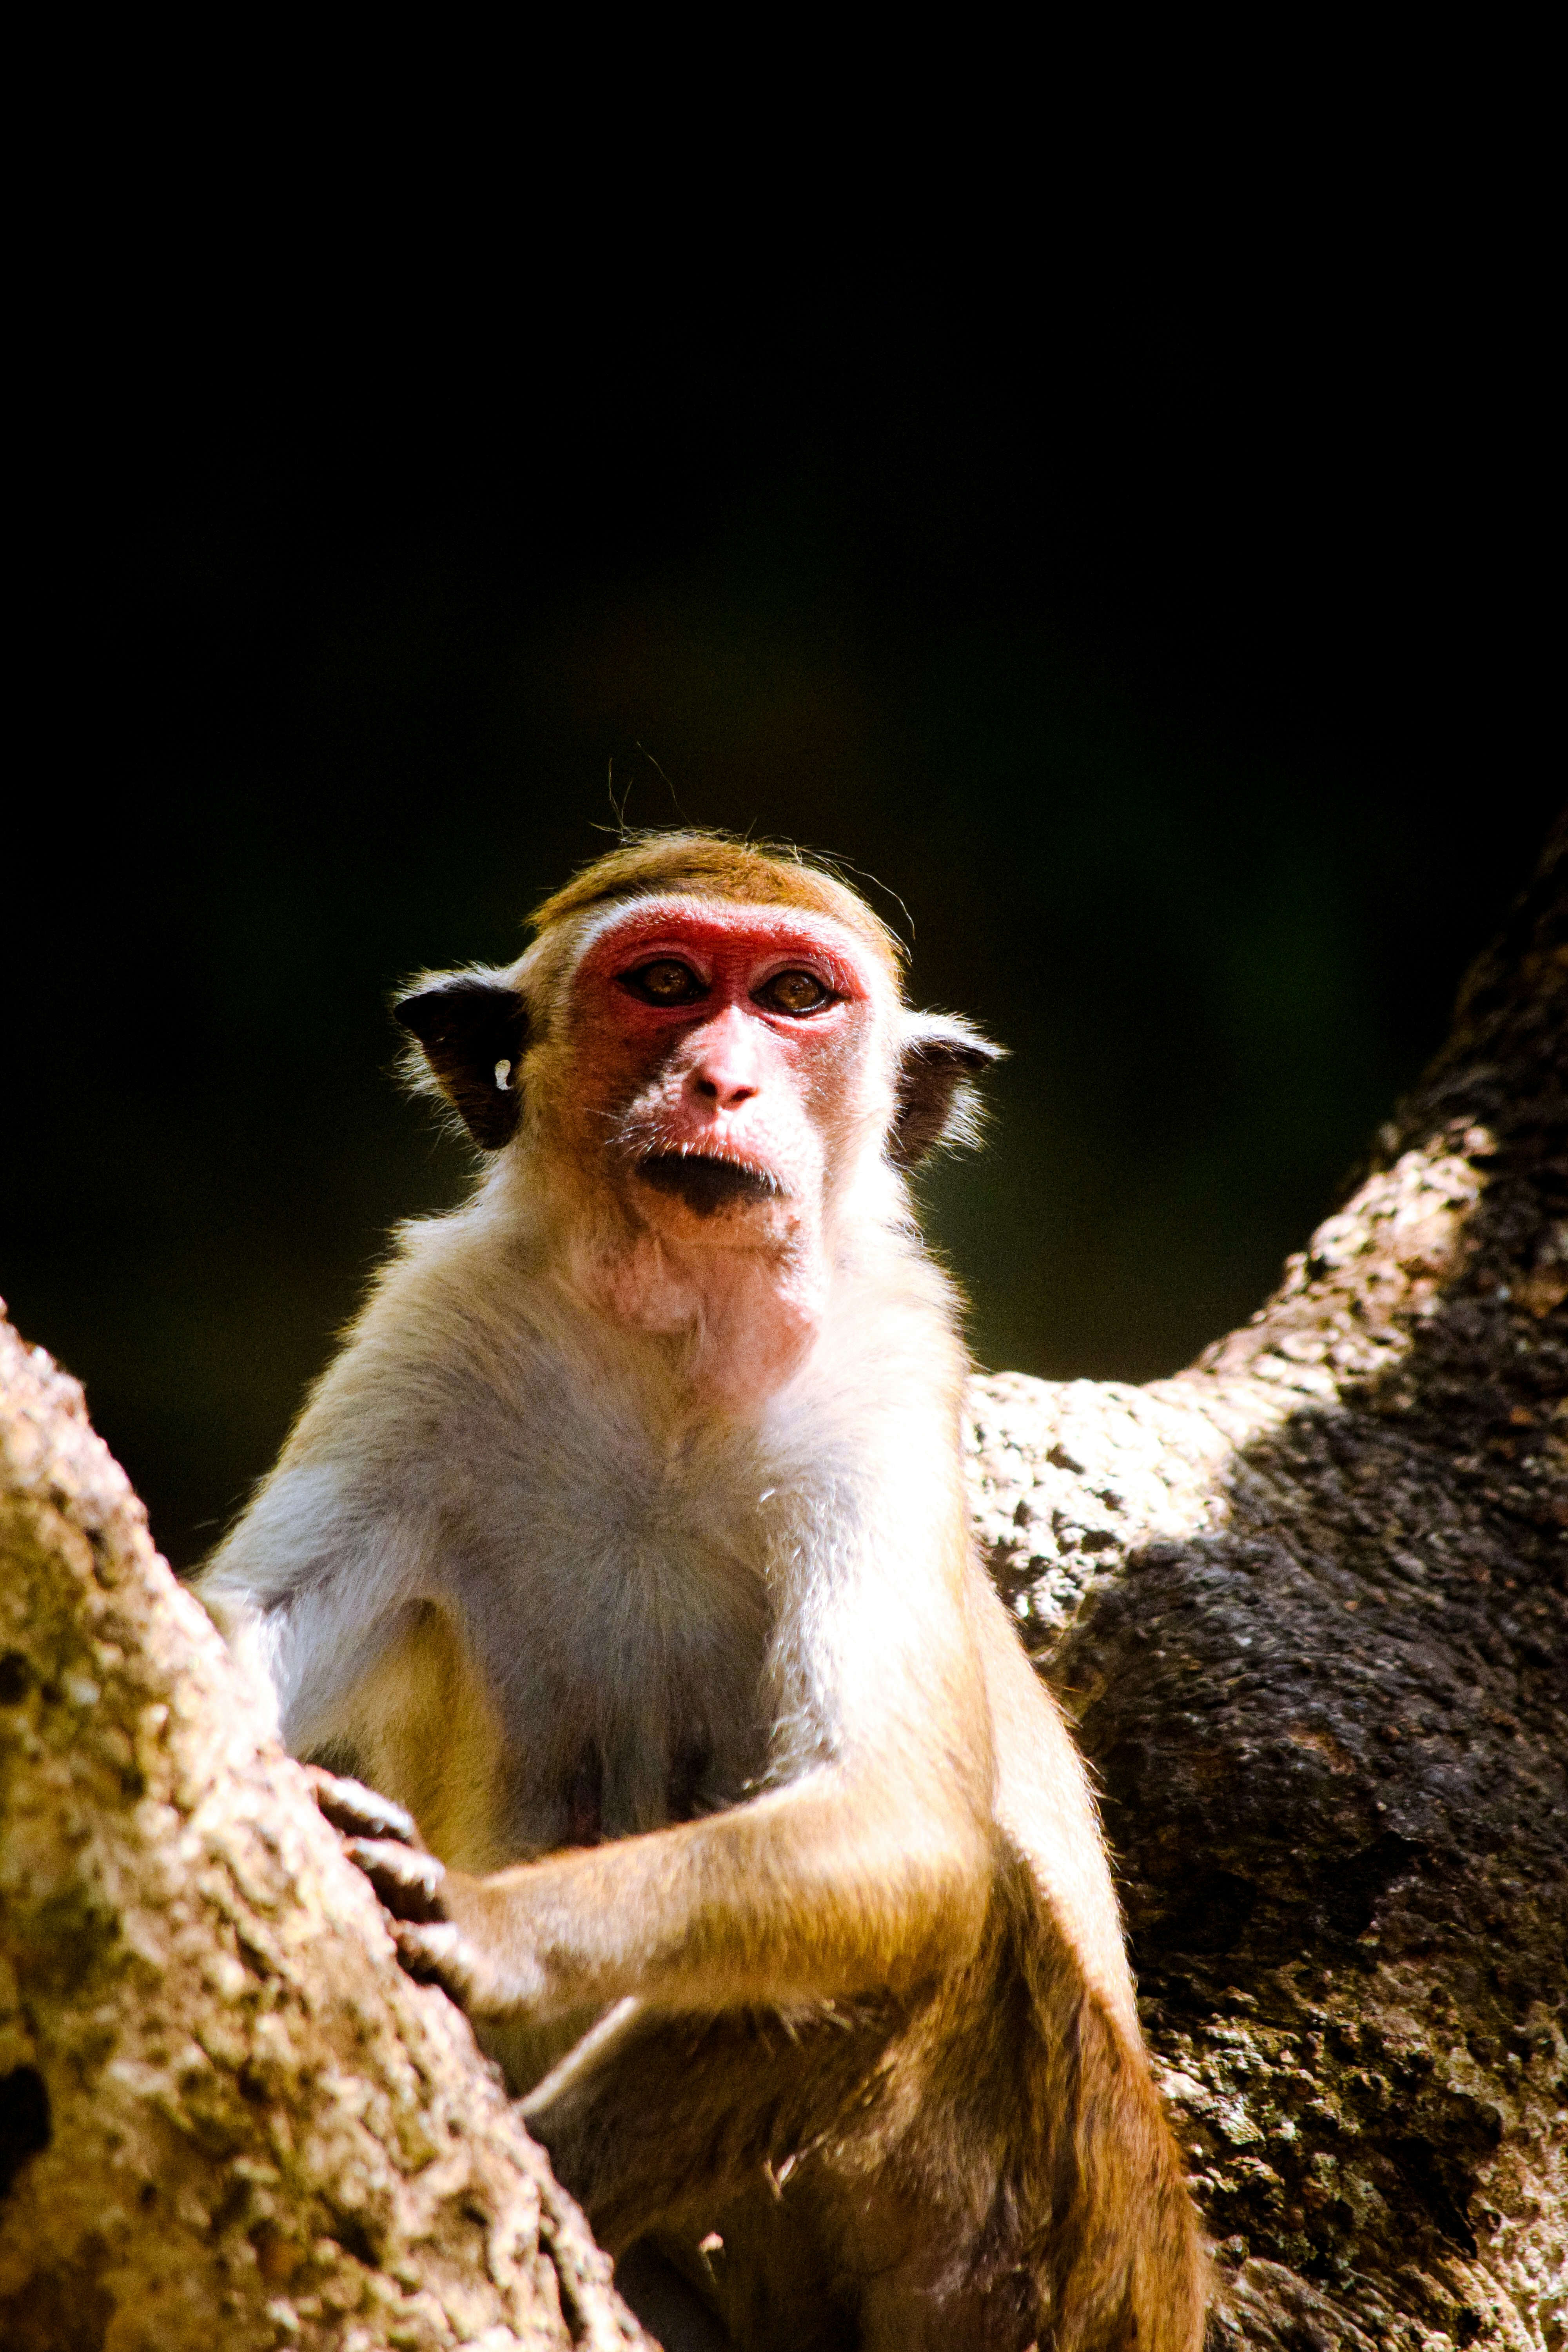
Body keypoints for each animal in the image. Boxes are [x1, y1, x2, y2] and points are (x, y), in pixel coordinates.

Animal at [200, 830, 1207, 2351]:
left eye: (794, 997)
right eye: (665, 984)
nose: (723, 1080)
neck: (675, 1338)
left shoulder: (886, 1374)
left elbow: (905, 1834)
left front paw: (492, 1926)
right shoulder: (435, 1319)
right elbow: (232, 1645)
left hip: (1066, 2244)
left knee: (949, 1914)